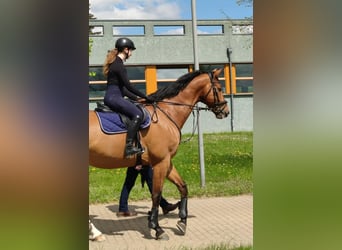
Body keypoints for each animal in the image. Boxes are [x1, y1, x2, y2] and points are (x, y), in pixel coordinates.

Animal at [89, 68, 231, 240]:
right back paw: (95, 233)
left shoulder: (167, 162)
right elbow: (156, 194)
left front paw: (182, 220)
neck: (167, 114)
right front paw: (157, 228)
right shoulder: (160, 162)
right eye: (219, 89)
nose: (225, 112)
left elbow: (183, 187)